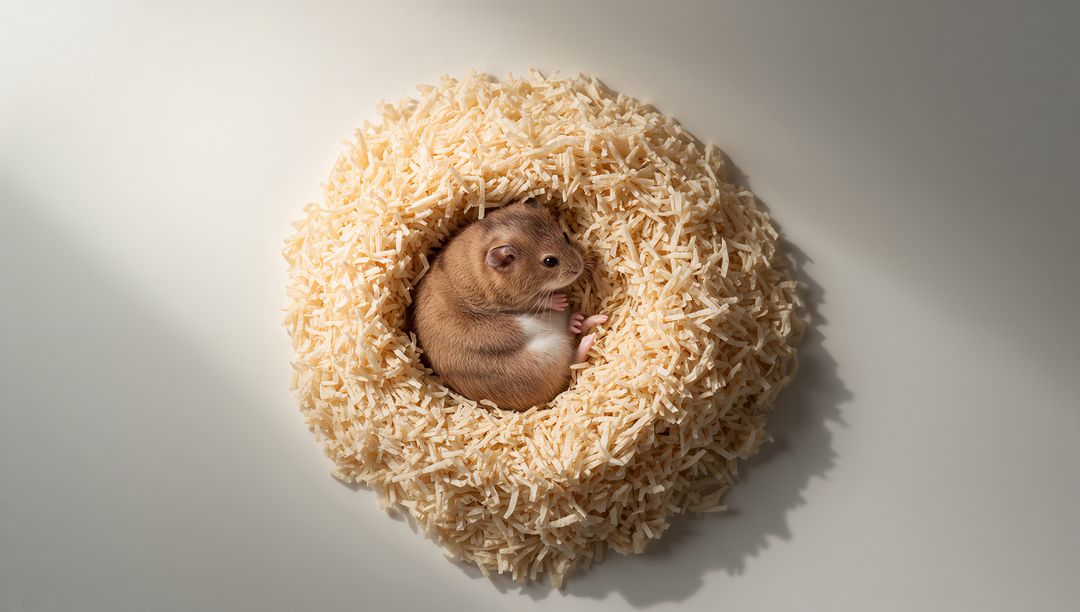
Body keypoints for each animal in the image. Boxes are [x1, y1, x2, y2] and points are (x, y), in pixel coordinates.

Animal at [412, 201, 608, 411]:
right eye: (550, 261)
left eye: (565, 236)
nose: (579, 268)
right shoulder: (511, 298)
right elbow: (537, 301)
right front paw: (560, 300)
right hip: (549, 355)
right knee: (572, 361)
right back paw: (586, 337)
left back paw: (582, 321)